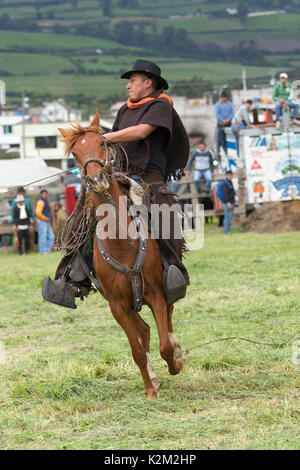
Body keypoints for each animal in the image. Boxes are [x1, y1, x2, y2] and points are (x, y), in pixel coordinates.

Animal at [58, 112, 185, 398]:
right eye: (75, 153)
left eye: (102, 143)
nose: (96, 179)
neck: (121, 242)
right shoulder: (117, 305)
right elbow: (137, 349)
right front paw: (150, 388)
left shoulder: (155, 293)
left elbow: (164, 344)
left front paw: (175, 363)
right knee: (144, 330)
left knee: (168, 315)